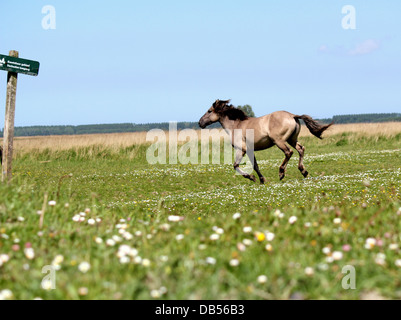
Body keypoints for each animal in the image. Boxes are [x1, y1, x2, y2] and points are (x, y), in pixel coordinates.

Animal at [198, 99, 332, 184]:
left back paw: (281, 173)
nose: (200, 123)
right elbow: (255, 165)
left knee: (289, 152)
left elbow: (235, 165)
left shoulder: (241, 149)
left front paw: (252, 177)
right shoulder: (250, 150)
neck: (236, 125)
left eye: (209, 111)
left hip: (279, 141)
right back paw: (303, 171)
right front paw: (262, 180)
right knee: (301, 149)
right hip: (292, 139)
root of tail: (292, 115)